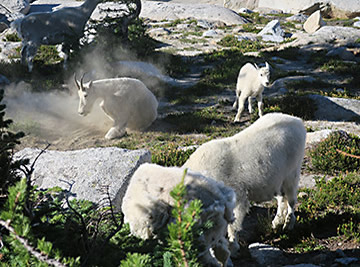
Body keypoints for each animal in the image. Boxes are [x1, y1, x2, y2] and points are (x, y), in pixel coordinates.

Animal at [184, 113, 306, 255]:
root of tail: (298, 122)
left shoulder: (237, 196)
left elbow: (233, 224)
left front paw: (233, 246)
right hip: (278, 178)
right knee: (282, 198)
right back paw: (276, 222)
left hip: (292, 172)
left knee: (291, 199)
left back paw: (288, 224)